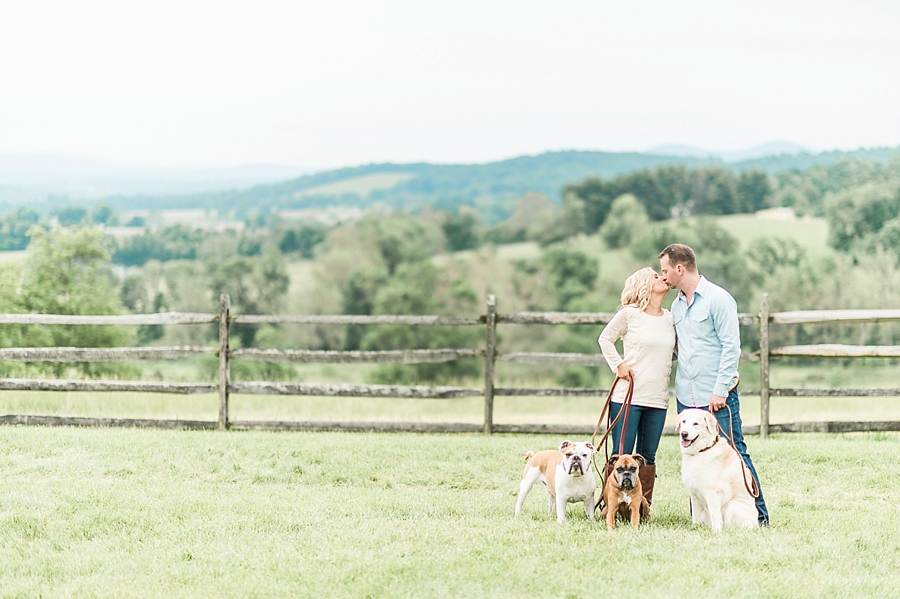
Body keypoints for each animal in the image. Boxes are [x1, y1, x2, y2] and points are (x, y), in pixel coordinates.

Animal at [680, 408, 756, 536]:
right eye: (683, 421)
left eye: (696, 423)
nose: (683, 434)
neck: (701, 451)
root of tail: (757, 524)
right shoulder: (694, 495)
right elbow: (695, 517)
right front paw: (694, 528)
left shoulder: (712, 494)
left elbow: (715, 517)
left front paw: (716, 532)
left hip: (732, 506)